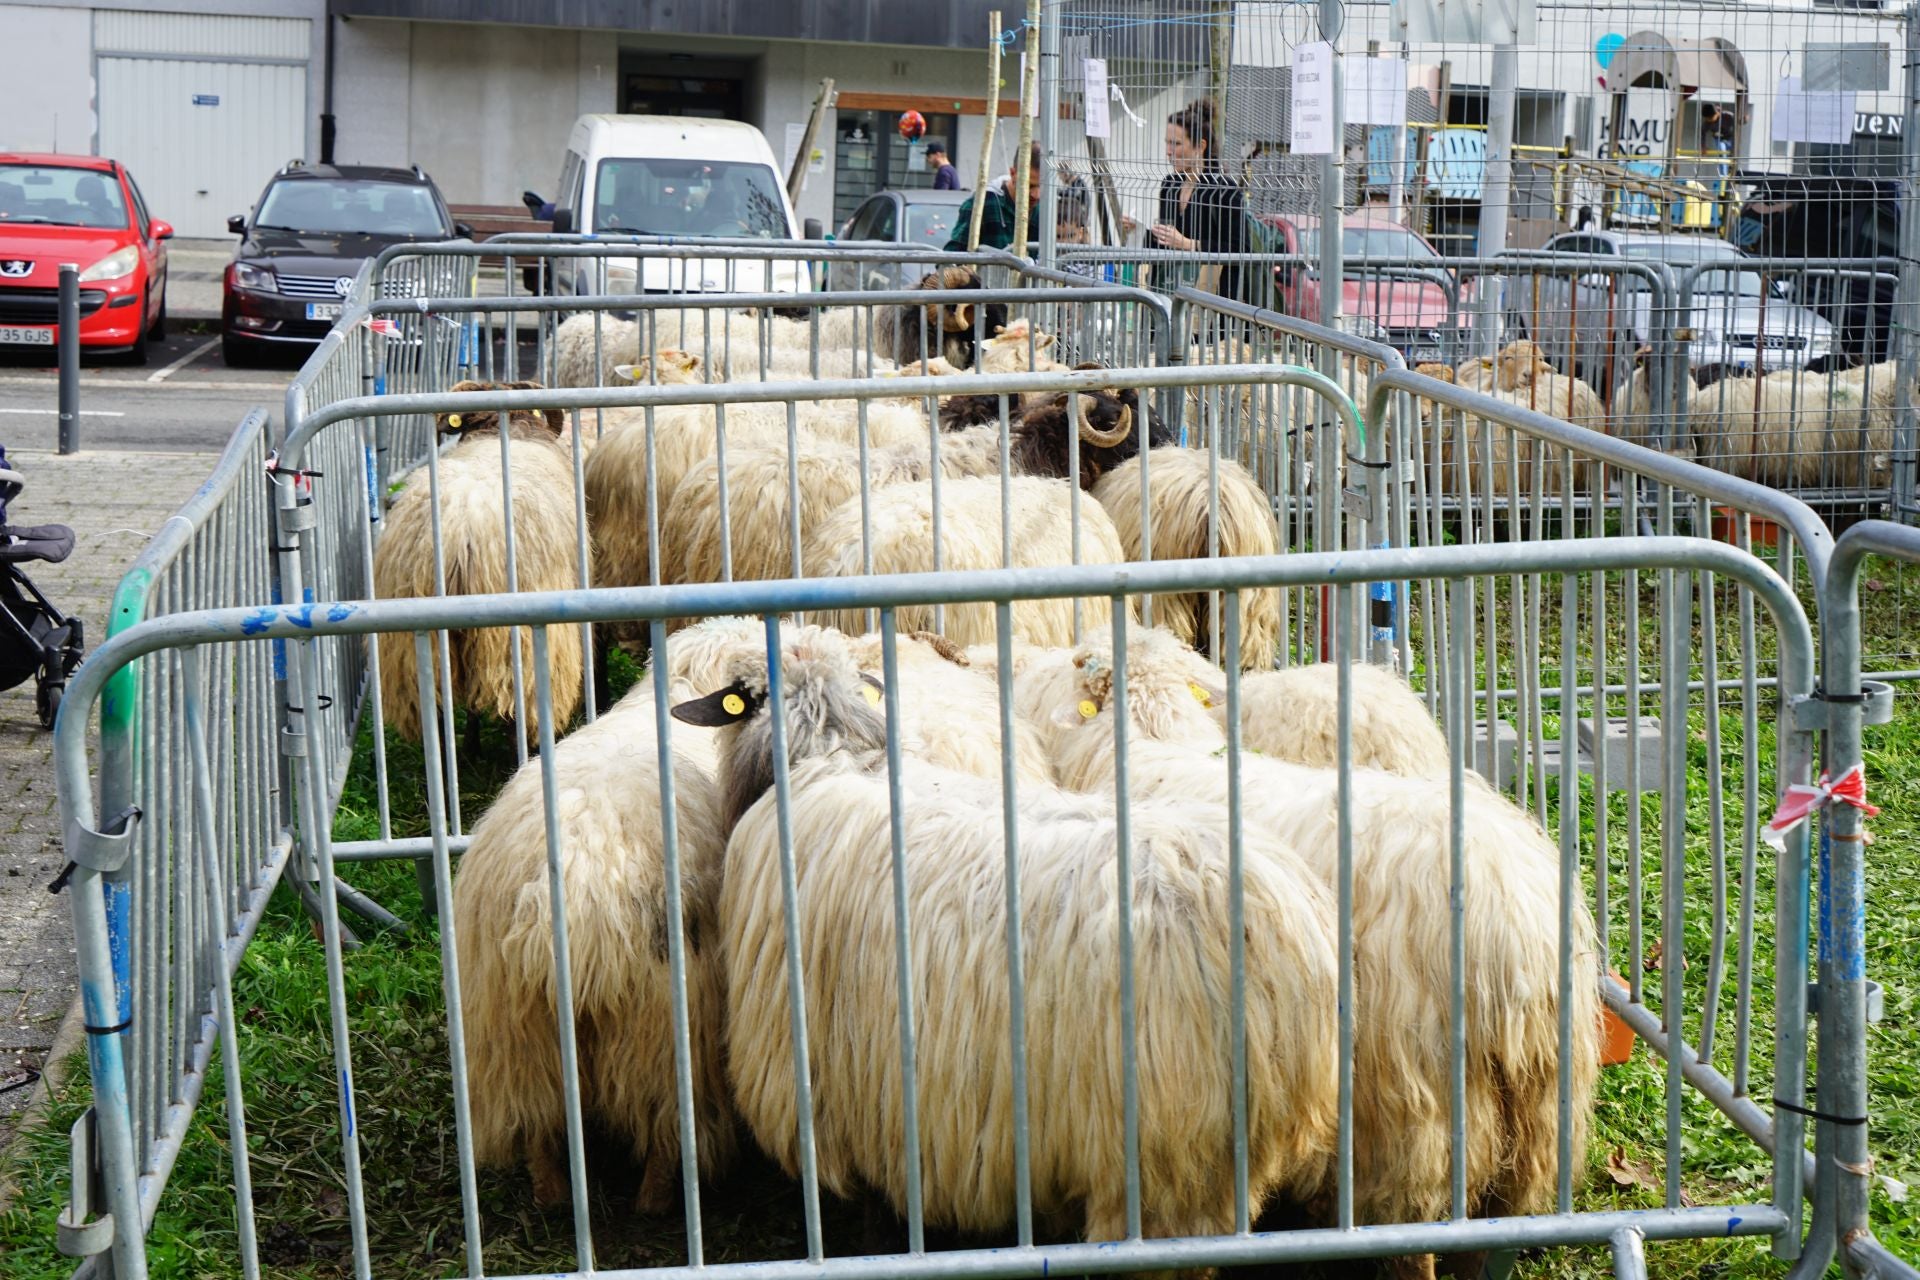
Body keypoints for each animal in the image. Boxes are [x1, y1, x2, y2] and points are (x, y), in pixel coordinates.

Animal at [451, 610, 764, 1212]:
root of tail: (574, 881)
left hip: (516, 1030)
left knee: (537, 1123)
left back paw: (550, 1193)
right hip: (663, 1027)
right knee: (667, 1124)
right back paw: (657, 1200)